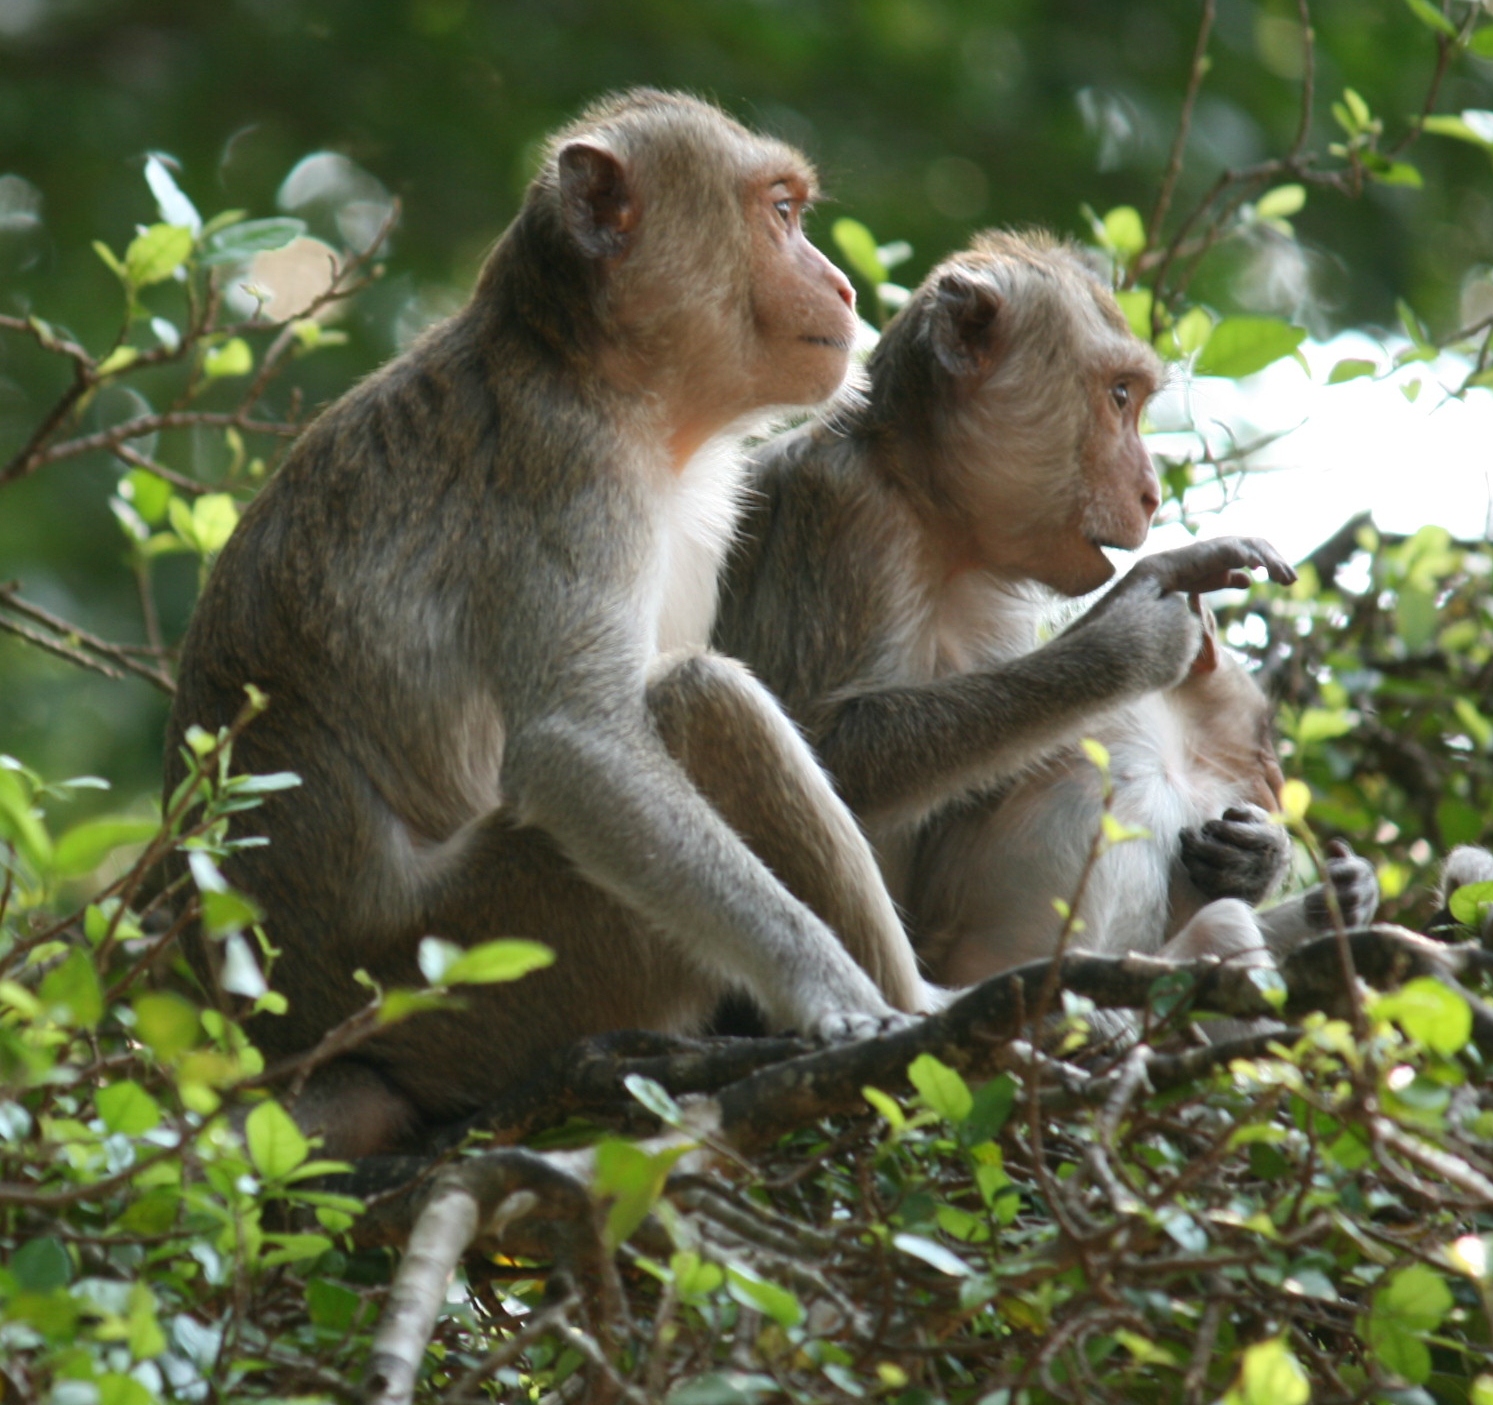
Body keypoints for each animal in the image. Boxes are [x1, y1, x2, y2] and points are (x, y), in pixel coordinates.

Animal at [165, 90, 936, 1159]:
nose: (843, 285)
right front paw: (834, 992)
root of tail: (298, 1037)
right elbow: (580, 747)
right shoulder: (570, 475)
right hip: (478, 965)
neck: (592, 368)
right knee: (704, 701)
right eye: (780, 213)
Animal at [712, 229, 1379, 987]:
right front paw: (1124, 636)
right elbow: (828, 744)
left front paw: (1263, 859)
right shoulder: (843, 509)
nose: (1151, 491)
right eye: (1118, 396)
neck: (931, 516)